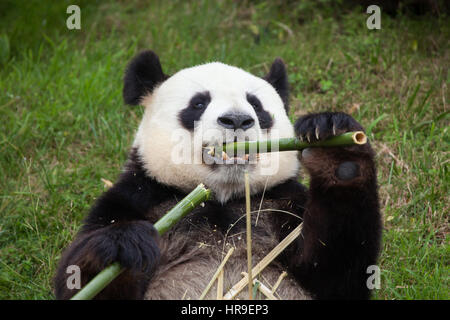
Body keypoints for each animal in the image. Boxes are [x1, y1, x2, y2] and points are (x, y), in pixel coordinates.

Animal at [54, 50, 382, 300]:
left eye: (257, 106)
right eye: (198, 103)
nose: (237, 120)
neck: (222, 196)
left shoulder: (282, 203)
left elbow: (337, 272)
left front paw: (335, 145)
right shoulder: (140, 196)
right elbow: (80, 280)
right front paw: (123, 245)